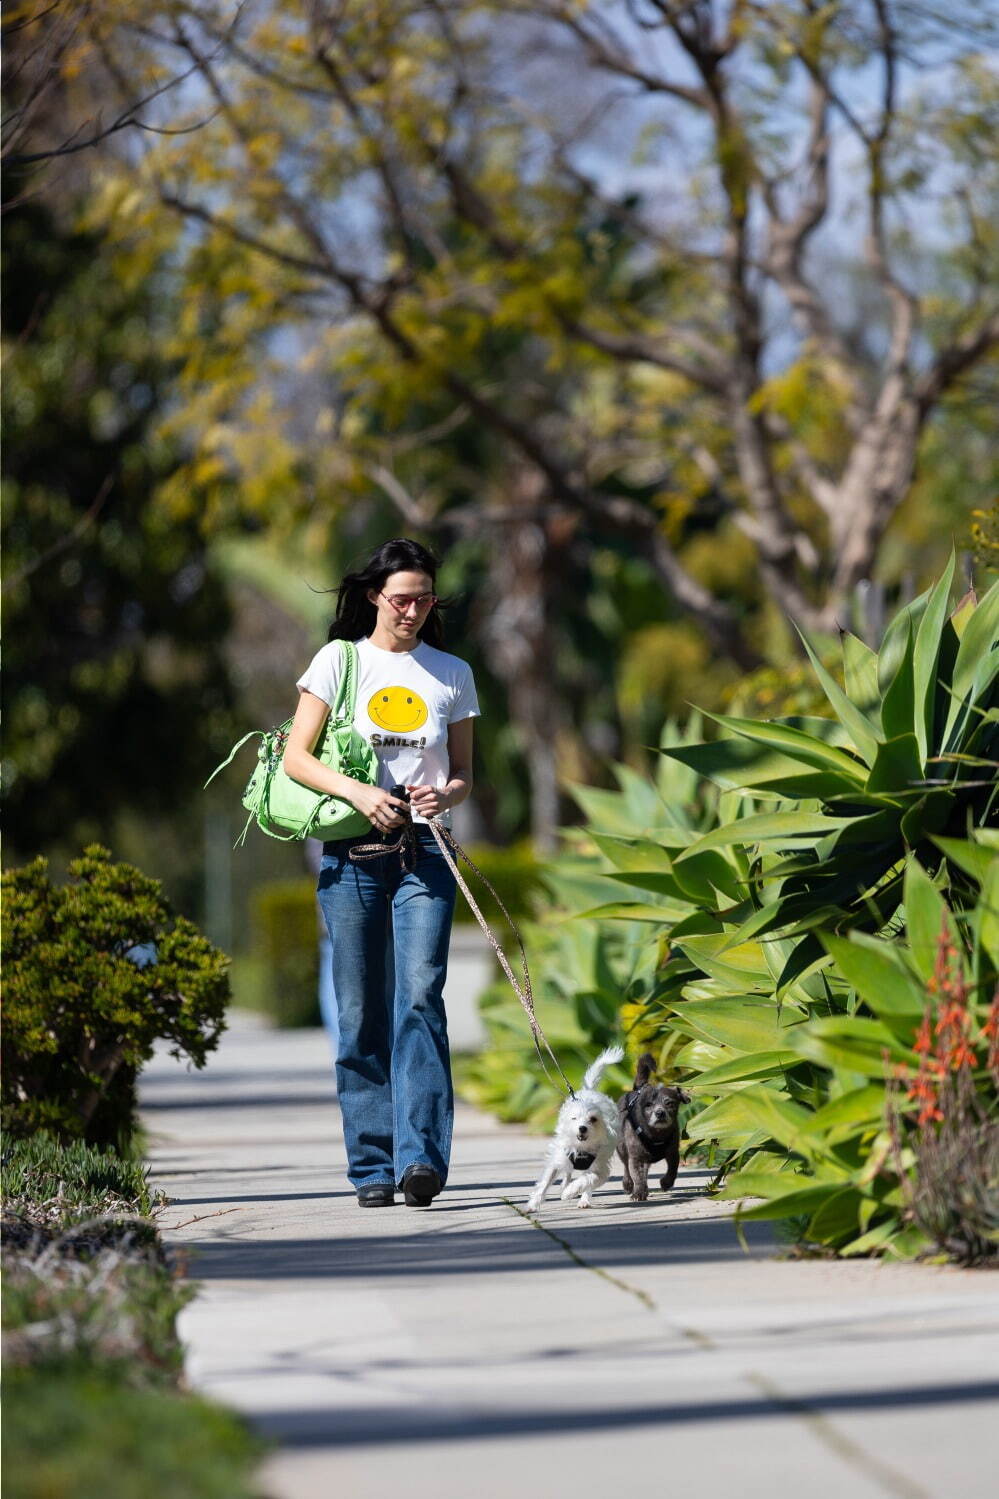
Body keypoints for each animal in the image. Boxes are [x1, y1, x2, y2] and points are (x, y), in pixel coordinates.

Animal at [525, 1049, 618, 1211]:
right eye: (574, 1118)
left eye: (593, 1119)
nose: (582, 1128)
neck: (581, 1147)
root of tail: (590, 1091)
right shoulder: (557, 1159)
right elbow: (544, 1183)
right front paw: (533, 1204)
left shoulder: (600, 1169)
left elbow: (587, 1180)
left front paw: (570, 1192)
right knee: (567, 1172)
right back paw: (565, 1185)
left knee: (586, 1182)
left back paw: (583, 1200)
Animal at [612, 1055, 690, 1205]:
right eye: (648, 1105)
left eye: (669, 1103)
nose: (660, 1113)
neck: (655, 1134)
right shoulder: (636, 1158)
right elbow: (637, 1176)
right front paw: (638, 1193)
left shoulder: (673, 1153)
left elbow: (672, 1170)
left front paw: (666, 1183)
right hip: (622, 1148)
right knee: (626, 1167)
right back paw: (628, 1184)